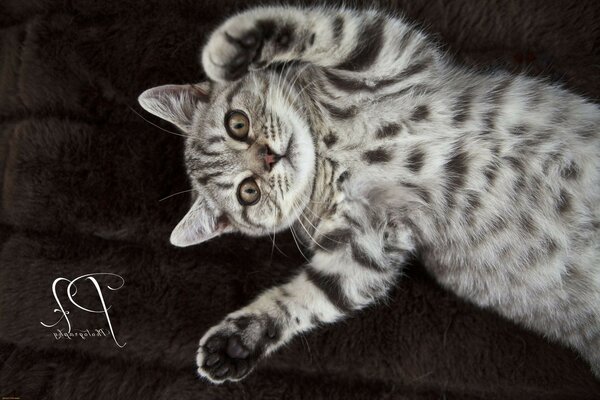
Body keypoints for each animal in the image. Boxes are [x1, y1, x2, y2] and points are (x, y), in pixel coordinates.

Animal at [137, 4, 600, 382]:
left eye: (237, 123)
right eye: (248, 192)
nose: (269, 158)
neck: (330, 150)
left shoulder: (384, 53)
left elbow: (318, 29)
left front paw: (233, 44)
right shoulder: (366, 244)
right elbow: (311, 296)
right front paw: (239, 342)